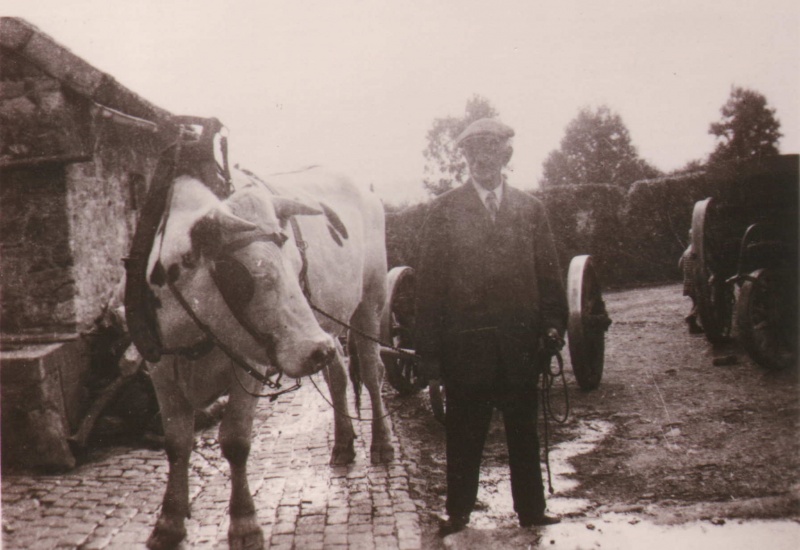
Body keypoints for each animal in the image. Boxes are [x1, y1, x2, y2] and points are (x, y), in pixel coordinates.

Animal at [135, 167, 395, 550]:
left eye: (295, 265)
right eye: (251, 275)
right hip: (328, 323)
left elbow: (235, 440)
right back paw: (343, 443)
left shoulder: (249, 364)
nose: (315, 350)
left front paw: (245, 524)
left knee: (373, 371)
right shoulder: (160, 369)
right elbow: (177, 443)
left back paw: (382, 443)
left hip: (370, 302)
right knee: (338, 374)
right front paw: (168, 522)